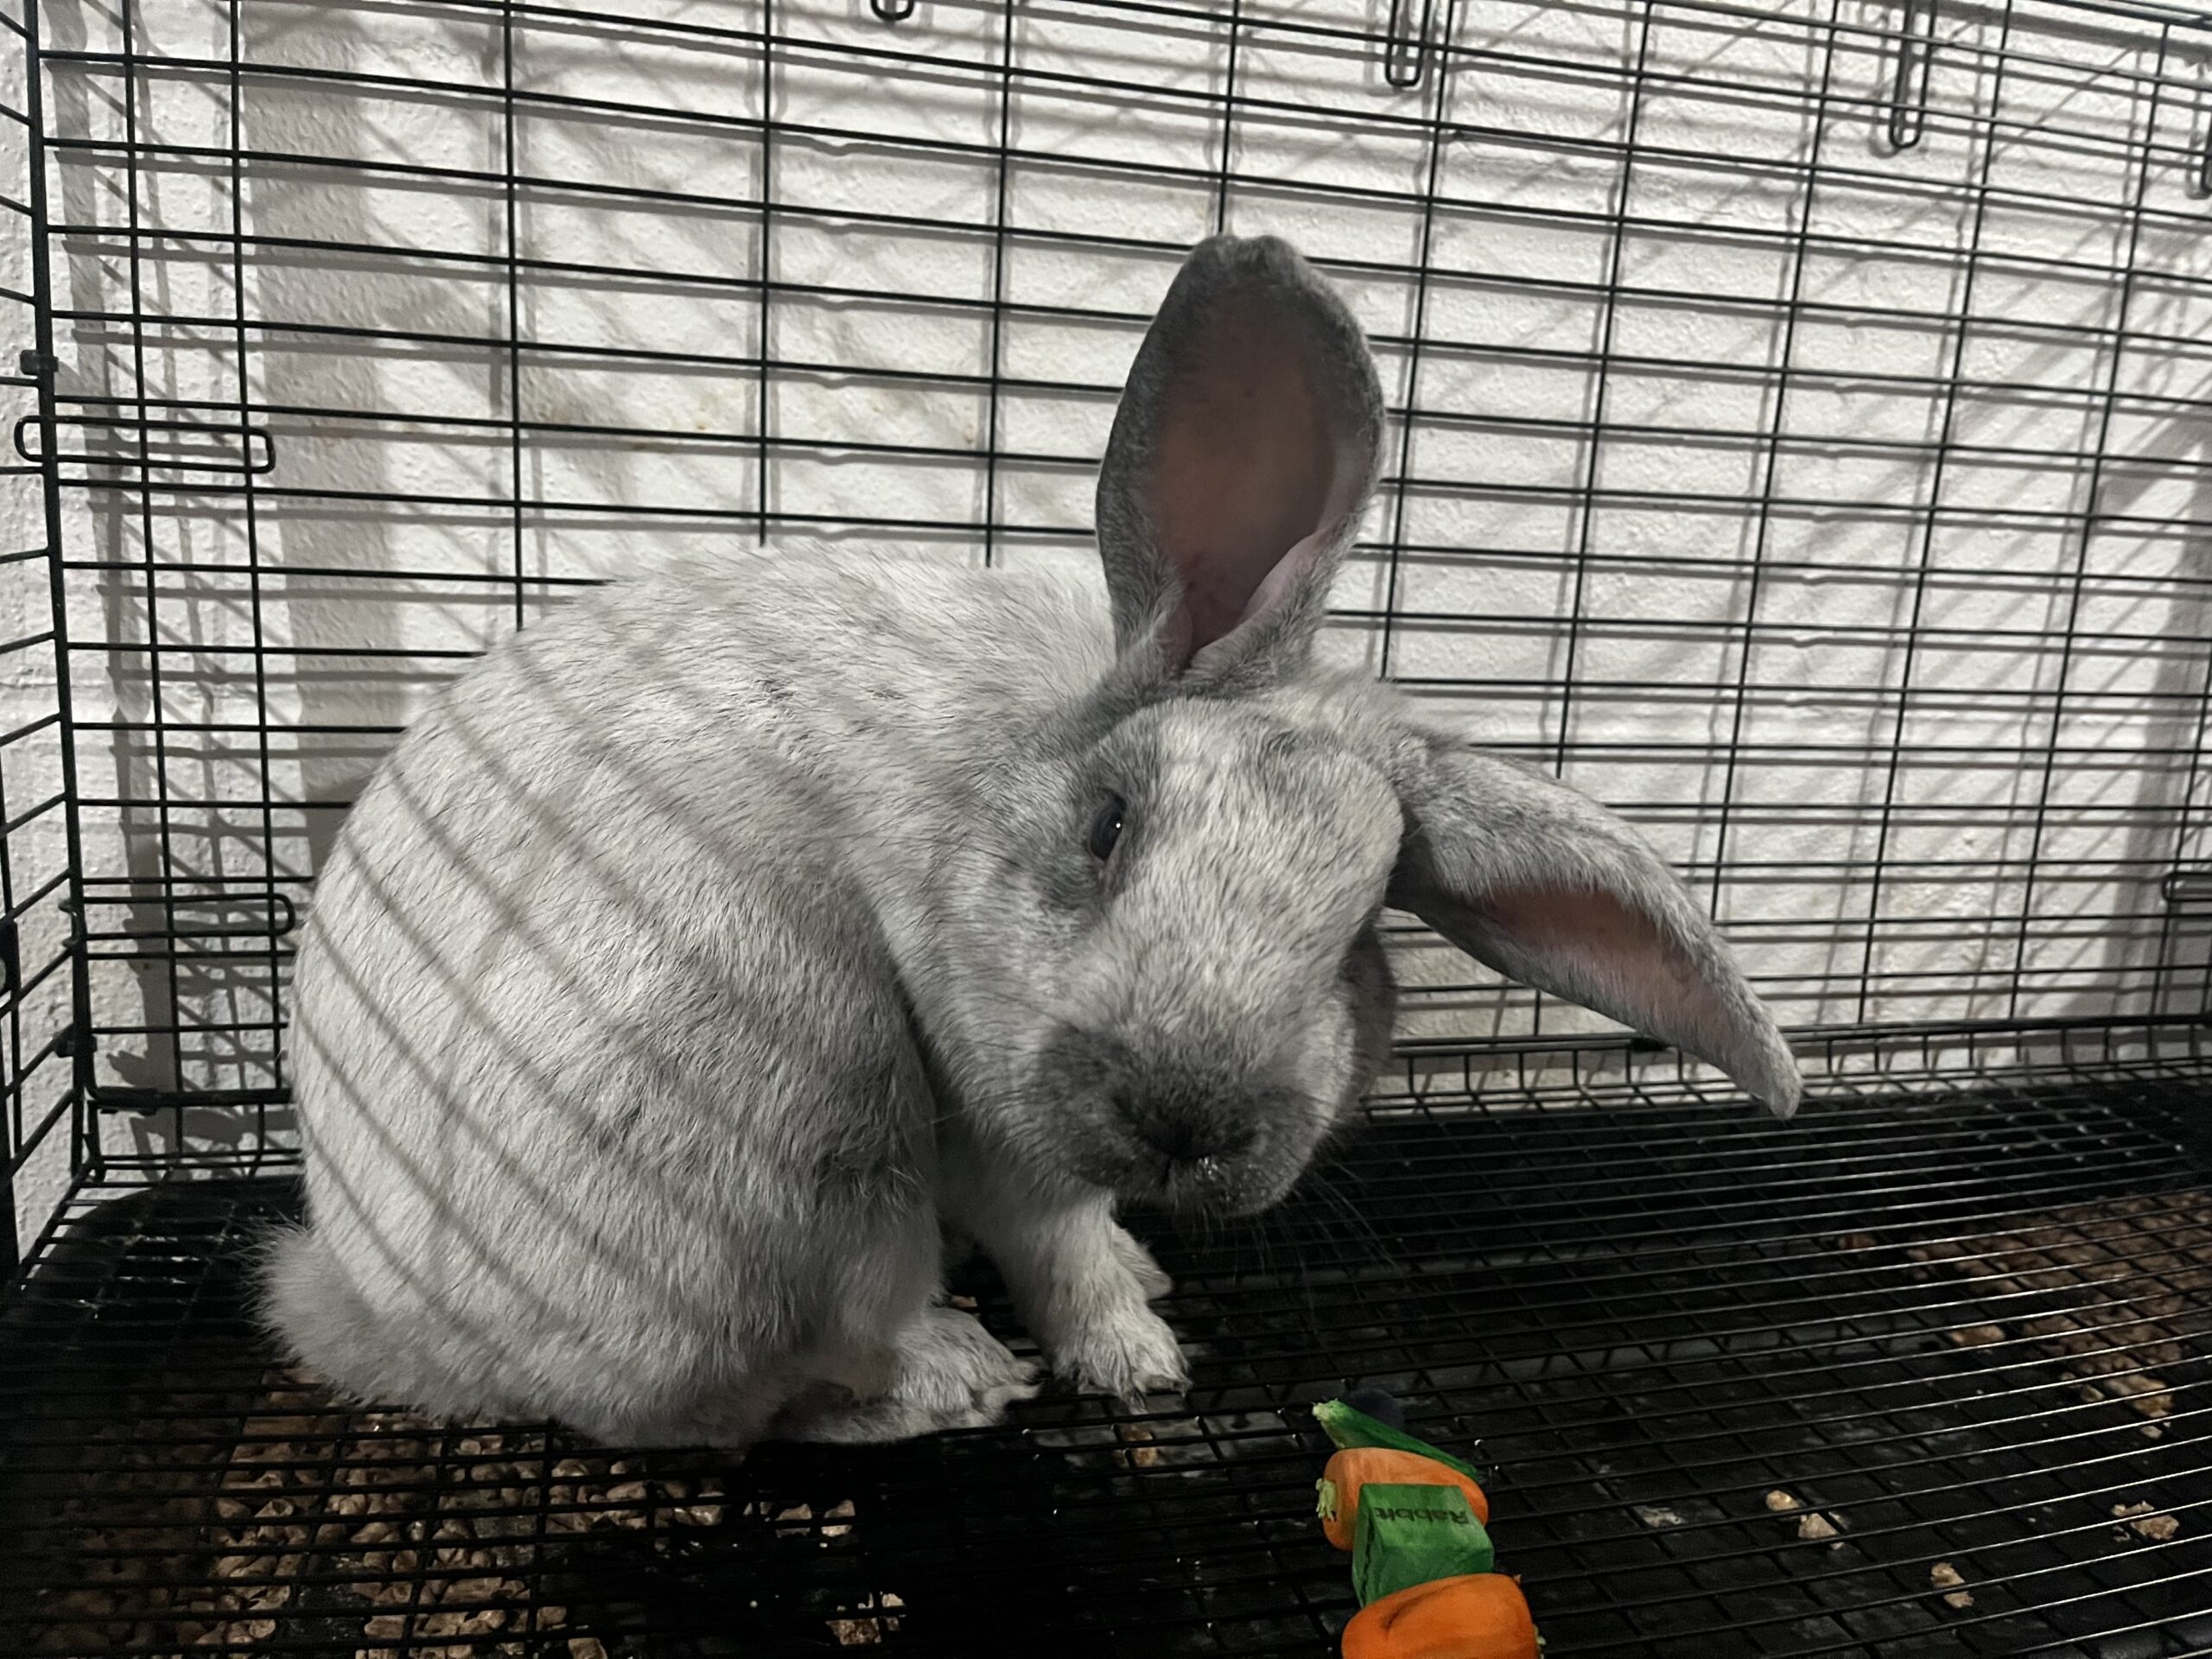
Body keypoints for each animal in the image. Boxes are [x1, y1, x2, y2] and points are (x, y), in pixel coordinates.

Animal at [264, 235, 1800, 1448]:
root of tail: (381, 1312)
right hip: (800, 1103)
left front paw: (1150, 1279)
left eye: (1364, 930)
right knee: (730, 1403)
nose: (1188, 1118)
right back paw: (958, 1378)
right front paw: (1137, 1361)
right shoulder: (992, 1115)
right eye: (1109, 829)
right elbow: (1059, 1251)